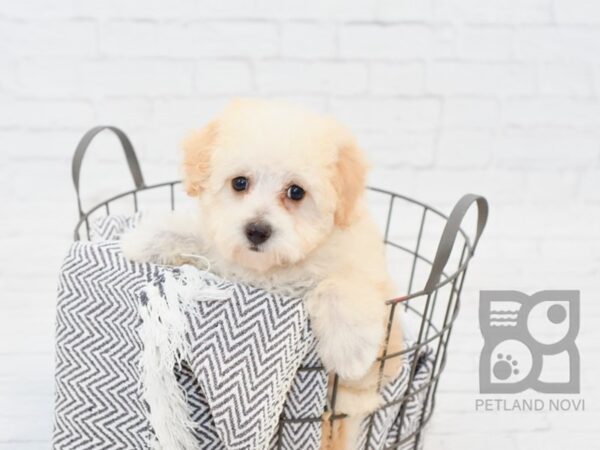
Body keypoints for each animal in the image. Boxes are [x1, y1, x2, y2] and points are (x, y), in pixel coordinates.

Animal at [120, 99, 404, 450]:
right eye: (240, 183)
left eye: (296, 192)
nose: (256, 230)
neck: (269, 269)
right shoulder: (219, 250)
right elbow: (195, 234)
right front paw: (143, 238)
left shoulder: (363, 276)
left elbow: (339, 286)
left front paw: (351, 350)